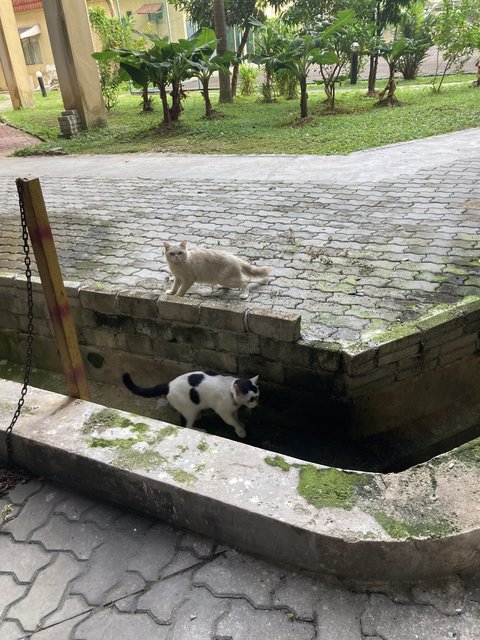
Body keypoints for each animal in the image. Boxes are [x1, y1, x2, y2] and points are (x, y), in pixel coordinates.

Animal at [122, 370, 260, 440]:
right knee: (187, 426)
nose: (256, 404)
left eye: (258, 396)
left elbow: (236, 418)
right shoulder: (223, 412)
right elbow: (232, 421)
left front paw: (240, 424)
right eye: (251, 399)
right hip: (189, 411)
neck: (230, 391)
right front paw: (240, 431)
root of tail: (169, 384)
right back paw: (199, 429)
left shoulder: (233, 409)